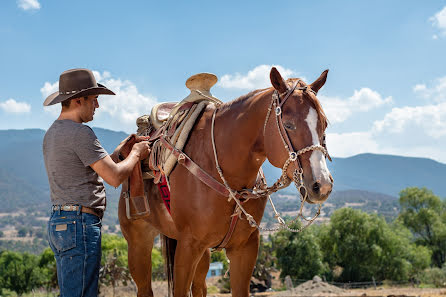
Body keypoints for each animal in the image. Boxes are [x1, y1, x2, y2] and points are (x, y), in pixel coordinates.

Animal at [116, 67, 332, 296]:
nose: (322, 185)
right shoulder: (188, 246)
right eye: (289, 125)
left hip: (202, 254)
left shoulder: (244, 248)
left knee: (199, 287)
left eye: (324, 124)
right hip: (138, 243)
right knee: (144, 287)